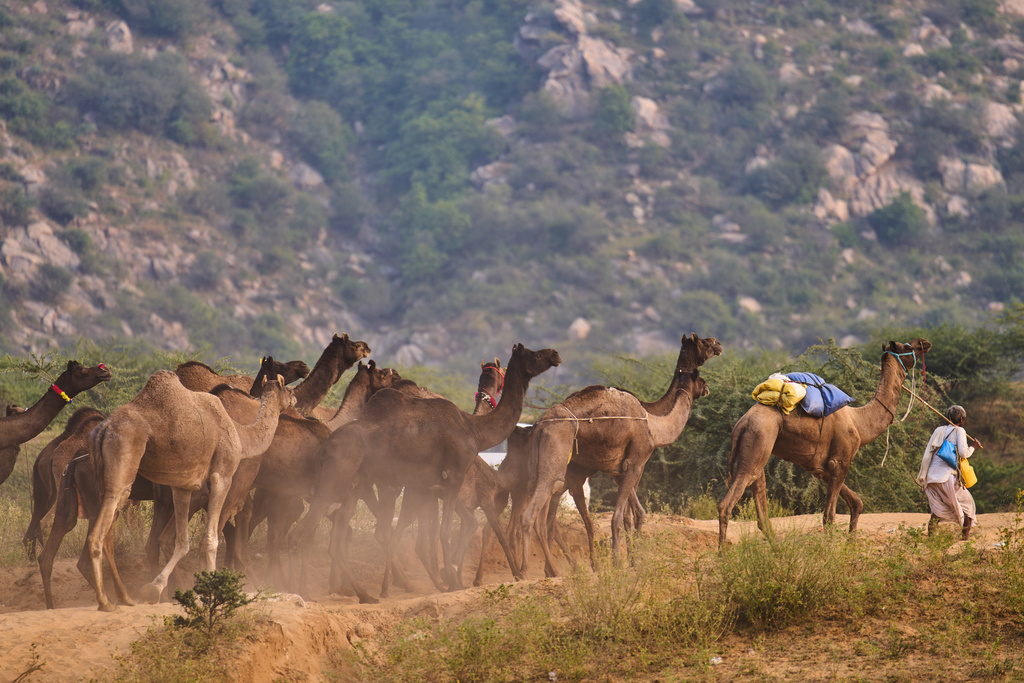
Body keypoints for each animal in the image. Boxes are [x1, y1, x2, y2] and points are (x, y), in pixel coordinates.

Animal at [85, 371, 295, 611]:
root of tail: (102, 430)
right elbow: (210, 540)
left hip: (101, 478)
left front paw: (155, 588)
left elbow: (181, 542)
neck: (240, 434)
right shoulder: (222, 476)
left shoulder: (183, 485)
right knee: (98, 533)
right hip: (122, 466)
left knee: (107, 534)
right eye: (289, 389)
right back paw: (105, 601)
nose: (295, 398)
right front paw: (212, 591)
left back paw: (125, 598)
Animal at [290, 343, 561, 603]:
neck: (474, 428)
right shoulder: (454, 476)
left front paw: (448, 579)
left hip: (353, 488)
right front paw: (455, 582)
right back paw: (304, 591)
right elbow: (446, 532)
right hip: (334, 482)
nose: (554, 354)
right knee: (305, 532)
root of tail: (325, 447)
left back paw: (366, 595)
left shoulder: (429, 487)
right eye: (533, 354)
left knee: (338, 540)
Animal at [514, 333, 720, 575]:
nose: (719, 345)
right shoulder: (636, 463)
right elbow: (622, 516)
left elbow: (633, 514)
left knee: (544, 516)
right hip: (554, 464)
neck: (653, 424)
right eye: (705, 343)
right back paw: (529, 570)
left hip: (539, 469)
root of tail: (538, 426)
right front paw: (621, 562)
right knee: (535, 515)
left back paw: (552, 568)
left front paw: (631, 559)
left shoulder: (618, 471)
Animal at [717, 338, 932, 548]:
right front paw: (830, 551)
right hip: (759, 436)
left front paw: (851, 546)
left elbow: (856, 502)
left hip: (758, 445)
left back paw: (776, 551)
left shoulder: (820, 468)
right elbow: (829, 515)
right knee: (728, 501)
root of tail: (741, 424)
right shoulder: (841, 460)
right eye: (908, 346)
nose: (924, 342)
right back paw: (722, 553)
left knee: (759, 499)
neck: (859, 422)